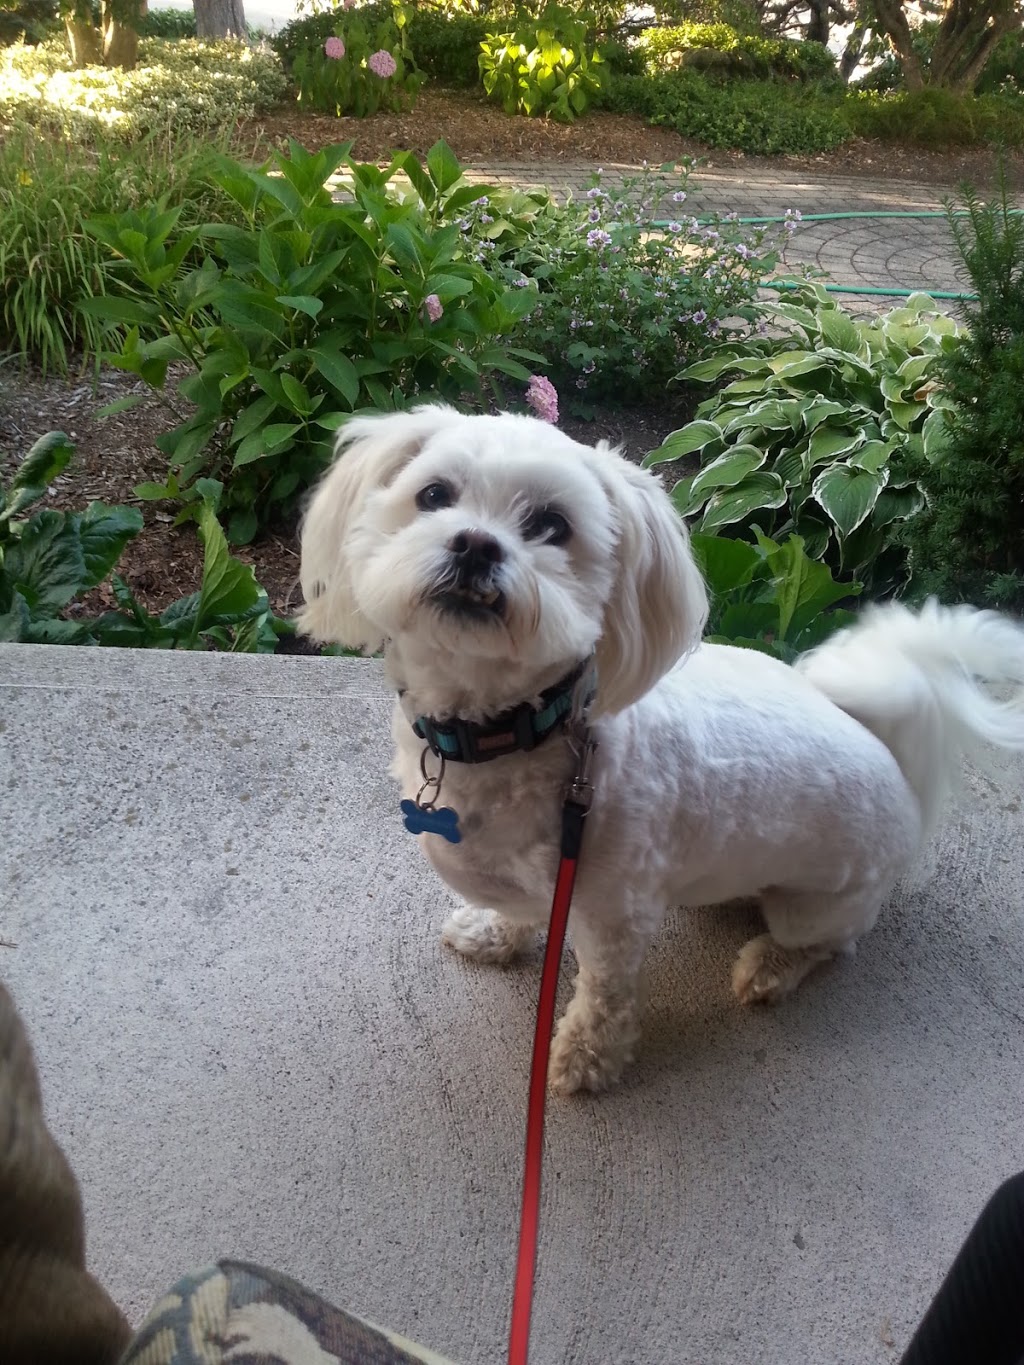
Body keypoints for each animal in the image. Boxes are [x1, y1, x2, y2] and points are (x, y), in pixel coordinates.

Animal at [299, 403, 1024, 1094]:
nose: (476, 544)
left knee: (829, 944)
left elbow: (604, 995)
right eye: (433, 494)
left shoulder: (613, 914)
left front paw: (586, 1058)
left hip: (817, 904)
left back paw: (770, 965)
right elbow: (519, 911)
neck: (520, 728)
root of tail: (893, 756)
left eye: (552, 525)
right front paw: (495, 933)